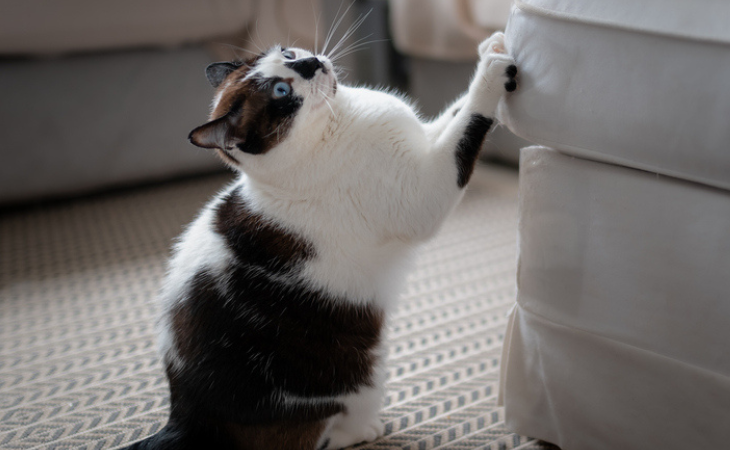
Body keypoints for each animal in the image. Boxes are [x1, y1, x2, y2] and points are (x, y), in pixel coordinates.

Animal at [123, 31, 512, 450]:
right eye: (280, 91)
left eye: (288, 54)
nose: (309, 64)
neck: (338, 119)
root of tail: (183, 414)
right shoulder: (423, 194)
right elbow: (467, 127)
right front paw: (492, 73)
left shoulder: (423, 139)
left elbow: (453, 114)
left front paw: (492, 48)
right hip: (358, 379)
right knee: (323, 433)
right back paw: (365, 430)